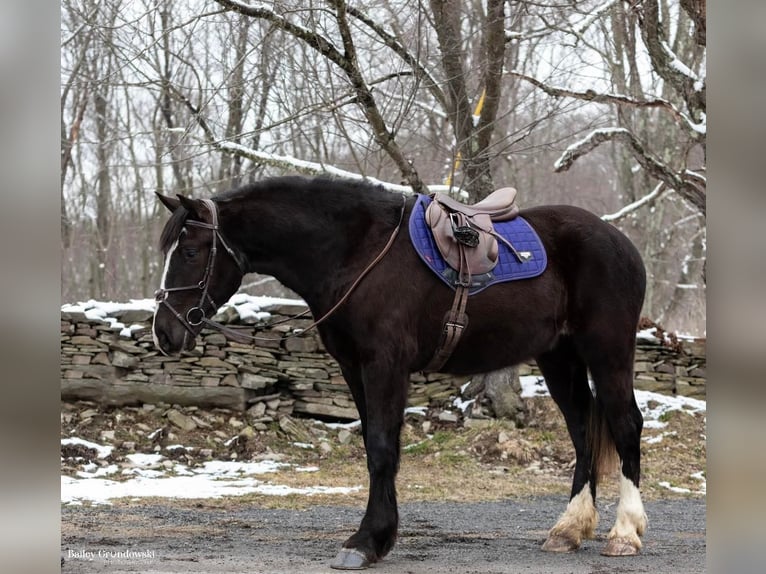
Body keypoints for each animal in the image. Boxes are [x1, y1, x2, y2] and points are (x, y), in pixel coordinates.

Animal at [153, 177, 652, 572]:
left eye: (192, 251)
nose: (164, 332)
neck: (357, 252)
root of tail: (620, 241)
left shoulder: (385, 365)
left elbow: (380, 449)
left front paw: (366, 541)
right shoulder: (354, 368)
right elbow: (378, 447)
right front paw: (378, 537)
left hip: (607, 351)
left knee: (626, 425)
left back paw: (624, 534)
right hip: (559, 358)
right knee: (584, 431)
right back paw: (568, 530)